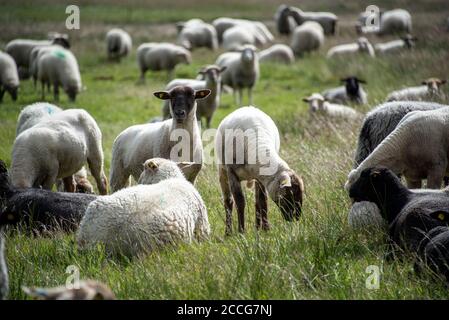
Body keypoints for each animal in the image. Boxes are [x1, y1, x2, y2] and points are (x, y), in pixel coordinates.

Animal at [214, 106, 304, 234]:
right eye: (289, 193)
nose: (296, 218)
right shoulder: (231, 173)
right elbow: (240, 201)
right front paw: (241, 231)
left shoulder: (261, 176)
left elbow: (262, 200)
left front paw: (266, 229)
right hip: (222, 171)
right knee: (228, 202)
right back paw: (228, 232)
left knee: (257, 201)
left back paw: (257, 228)